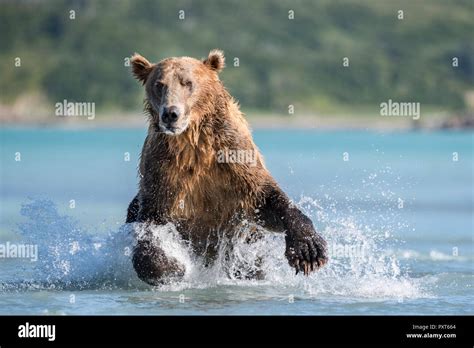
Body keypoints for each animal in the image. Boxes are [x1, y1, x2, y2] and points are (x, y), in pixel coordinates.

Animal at [128, 49, 328, 286]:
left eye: (188, 82)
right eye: (159, 85)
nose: (170, 114)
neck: (193, 143)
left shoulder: (234, 161)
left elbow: (267, 201)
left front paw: (309, 251)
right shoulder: (163, 170)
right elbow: (151, 222)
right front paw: (171, 267)